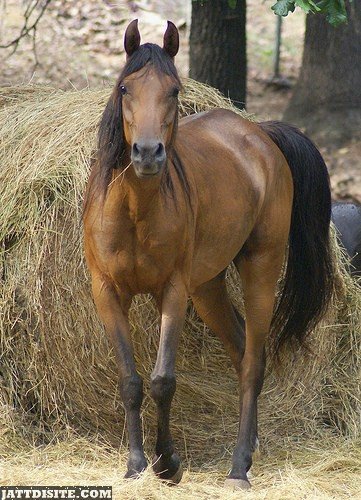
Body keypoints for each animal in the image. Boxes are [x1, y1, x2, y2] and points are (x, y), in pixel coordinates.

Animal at [83, 20, 334, 492]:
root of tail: (260, 135)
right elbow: (130, 380)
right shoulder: (107, 293)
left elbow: (163, 380)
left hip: (259, 269)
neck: (136, 210)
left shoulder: (173, 291)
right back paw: (250, 447)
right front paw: (135, 465)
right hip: (207, 287)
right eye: (125, 87)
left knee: (253, 361)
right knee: (239, 349)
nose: (147, 153)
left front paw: (168, 463)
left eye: (174, 90)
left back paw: (239, 466)